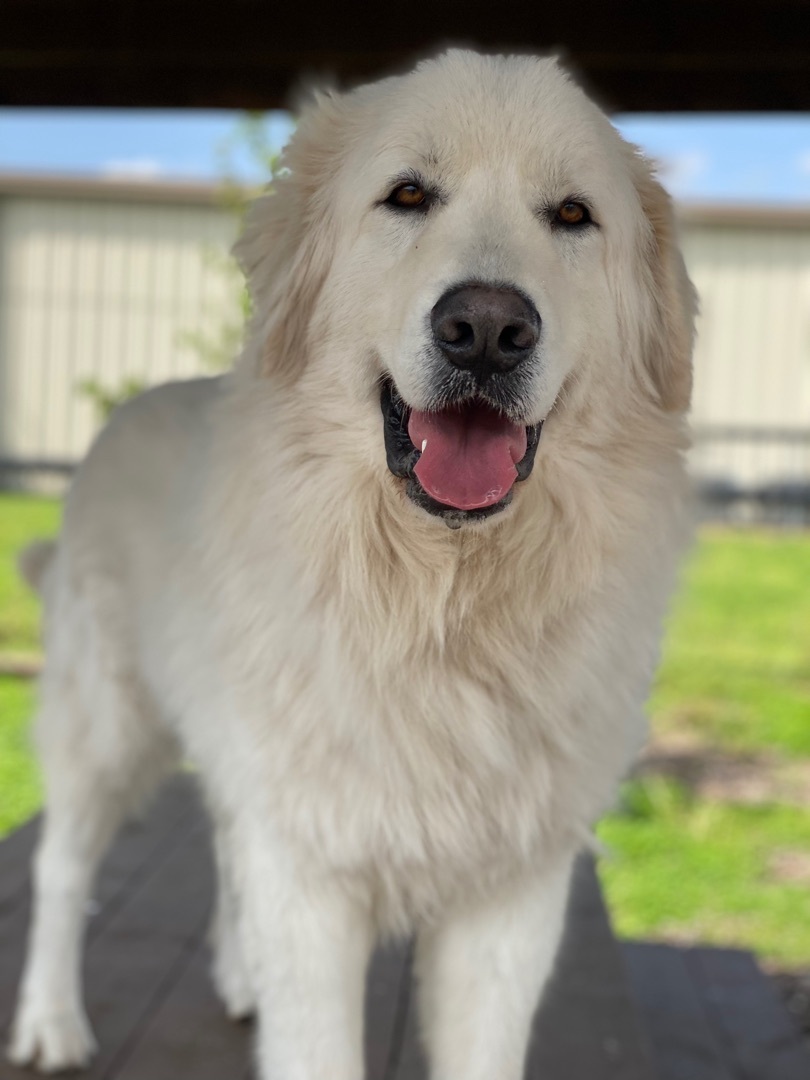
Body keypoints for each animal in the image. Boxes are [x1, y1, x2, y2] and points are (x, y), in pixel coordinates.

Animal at [7, 48, 699, 1080]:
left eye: (573, 215)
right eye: (407, 195)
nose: (486, 329)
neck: (442, 600)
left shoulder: (510, 896)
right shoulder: (311, 872)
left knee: (223, 843)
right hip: (107, 723)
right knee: (61, 869)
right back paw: (51, 1020)